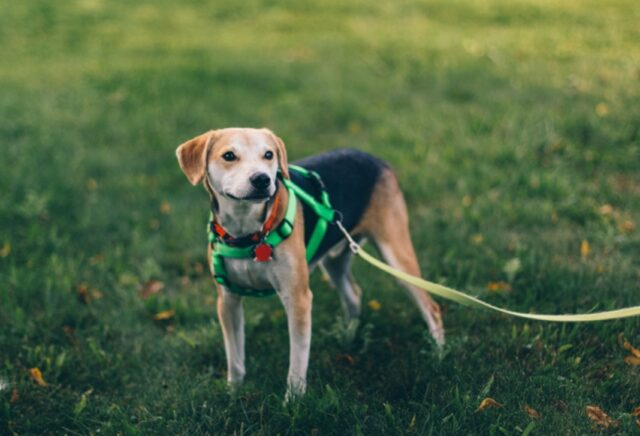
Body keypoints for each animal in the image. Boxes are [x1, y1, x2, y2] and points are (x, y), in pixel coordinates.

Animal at [175, 127, 444, 400]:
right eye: (229, 156)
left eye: (269, 155)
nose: (262, 179)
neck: (249, 233)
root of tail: (375, 159)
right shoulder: (227, 300)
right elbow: (235, 357)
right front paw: (233, 393)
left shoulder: (298, 299)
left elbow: (297, 361)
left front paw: (293, 401)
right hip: (335, 260)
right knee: (354, 293)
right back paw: (348, 335)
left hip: (396, 254)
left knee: (431, 307)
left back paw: (438, 355)